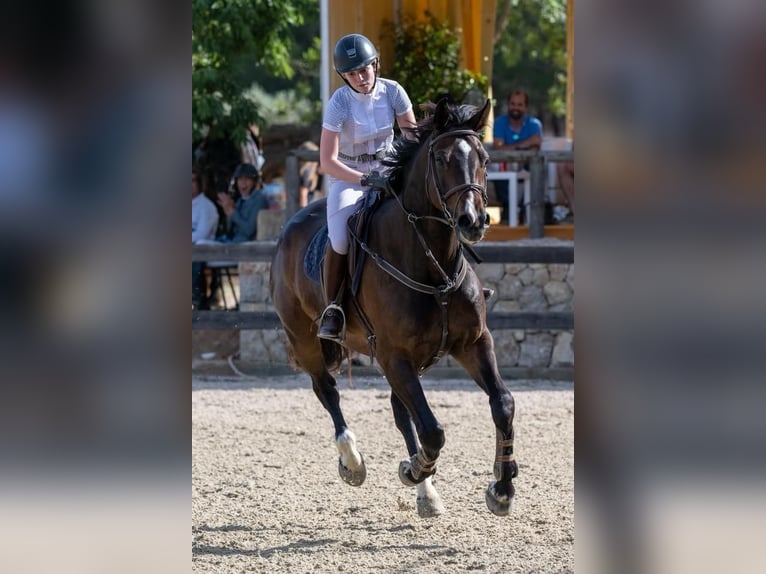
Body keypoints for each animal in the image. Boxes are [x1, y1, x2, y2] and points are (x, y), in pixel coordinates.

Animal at [269, 98, 517, 517]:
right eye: (441, 159)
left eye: (483, 158)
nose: (473, 221)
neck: (433, 266)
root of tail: (289, 228)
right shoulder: (395, 355)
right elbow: (432, 429)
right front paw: (414, 469)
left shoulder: (472, 343)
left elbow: (501, 403)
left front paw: (501, 488)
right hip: (306, 338)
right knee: (328, 390)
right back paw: (353, 463)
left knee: (401, 413)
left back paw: (426, 494)